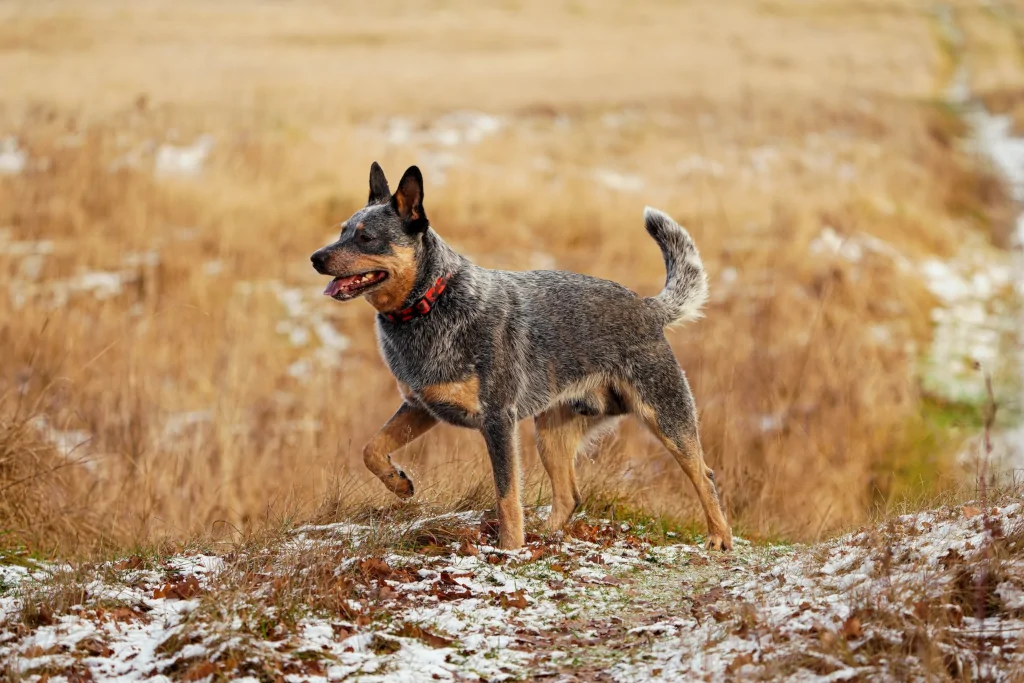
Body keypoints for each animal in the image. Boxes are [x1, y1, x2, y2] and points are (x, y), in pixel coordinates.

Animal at [307, 162, 733, 552]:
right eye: (343, 231)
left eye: (366, 237)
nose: (315, 257)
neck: (431, 304)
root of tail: (647, 307)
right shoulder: (422, 406)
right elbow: (371, 449)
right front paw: (399, 483)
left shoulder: (498, 419)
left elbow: (507, 495)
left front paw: (509, 550)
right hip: (551, 432)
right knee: (569, 495)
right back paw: (545, 537)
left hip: (665, 416)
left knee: (705, 475)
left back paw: (719, 538)